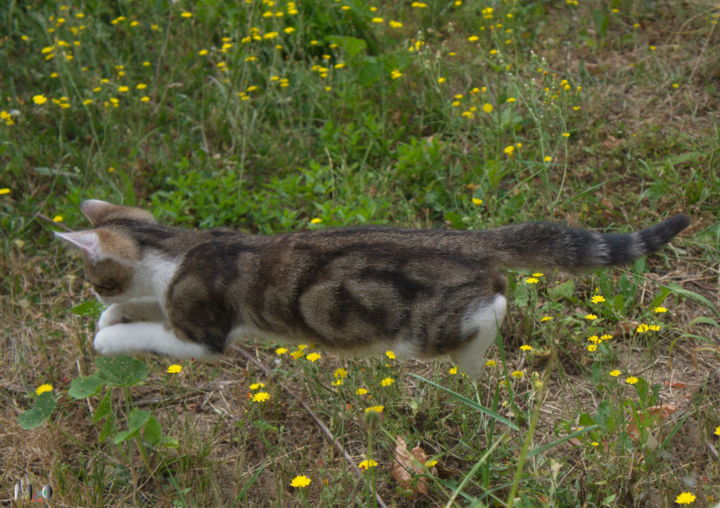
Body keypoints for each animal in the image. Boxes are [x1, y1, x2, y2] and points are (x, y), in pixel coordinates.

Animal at [53, 198, 688, 378]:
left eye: (92, 277)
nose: (94, 296)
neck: (177, 246)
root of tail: (463, 240)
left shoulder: (203, 332)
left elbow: (151, 334)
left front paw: (107, 334)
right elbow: (142, 312)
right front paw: (113, 318)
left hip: (419, 330)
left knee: (493, 306)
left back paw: (470, 369)